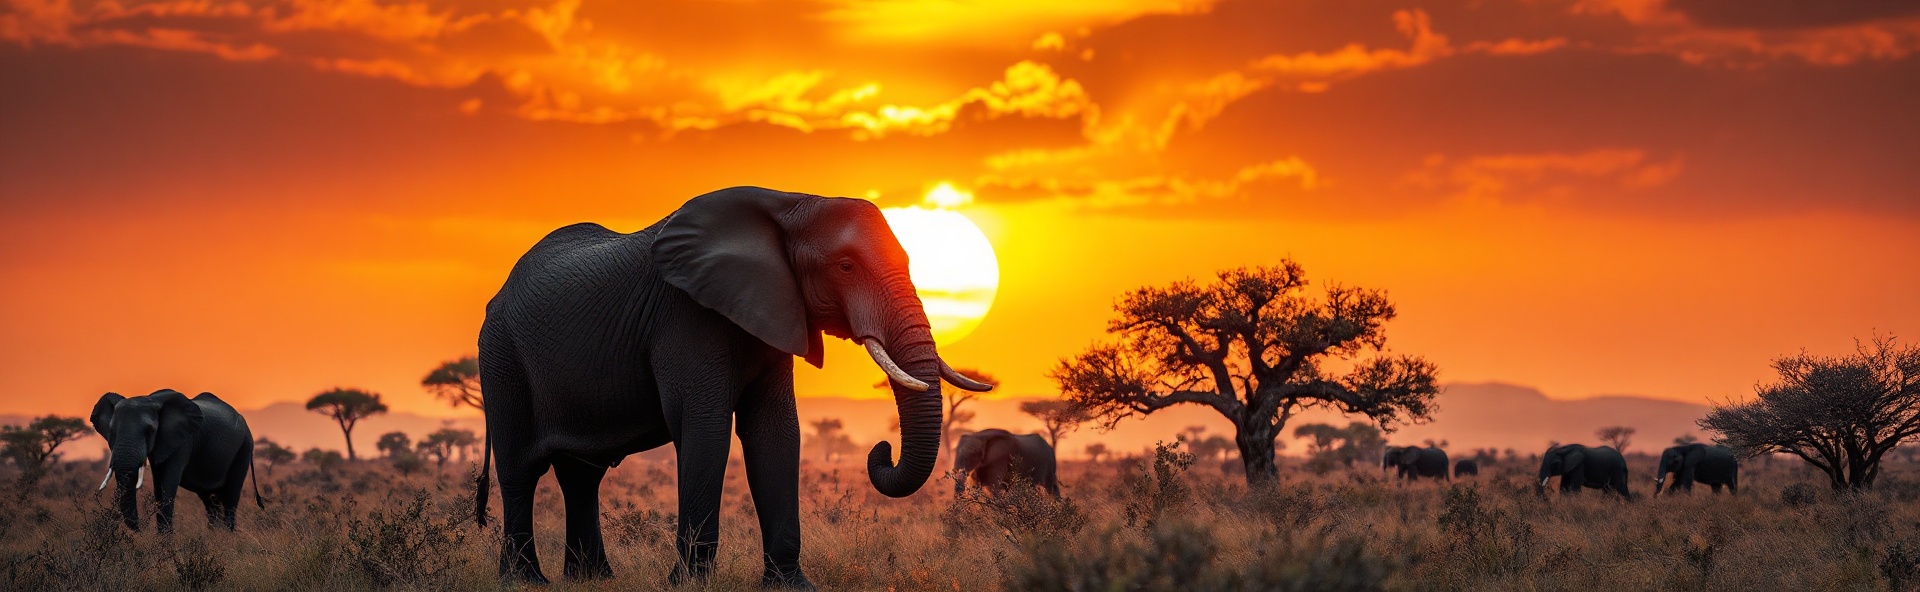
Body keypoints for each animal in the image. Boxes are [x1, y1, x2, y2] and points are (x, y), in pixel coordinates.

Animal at [90, 390, 261, 533]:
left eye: (150, 431)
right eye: (111, 431)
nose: (140, 530)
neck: (150, 399)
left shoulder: (181, 441)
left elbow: (167, 484)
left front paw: (165, 543)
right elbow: (159, 487)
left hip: (244, 448)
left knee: (231, 496)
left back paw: (227, 537)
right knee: (210, 501)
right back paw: (215, 536)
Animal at [474, 187, 993, 587]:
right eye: (845, 266)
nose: (881, 449)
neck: (791, 205)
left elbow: (776, 433)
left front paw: (792, 586)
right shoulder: (684, 317)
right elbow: (705, 428)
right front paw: (688, 586)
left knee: (581, 474)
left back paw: (594, 580)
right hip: (501, 357)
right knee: (521, 470)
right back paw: (526, 582)